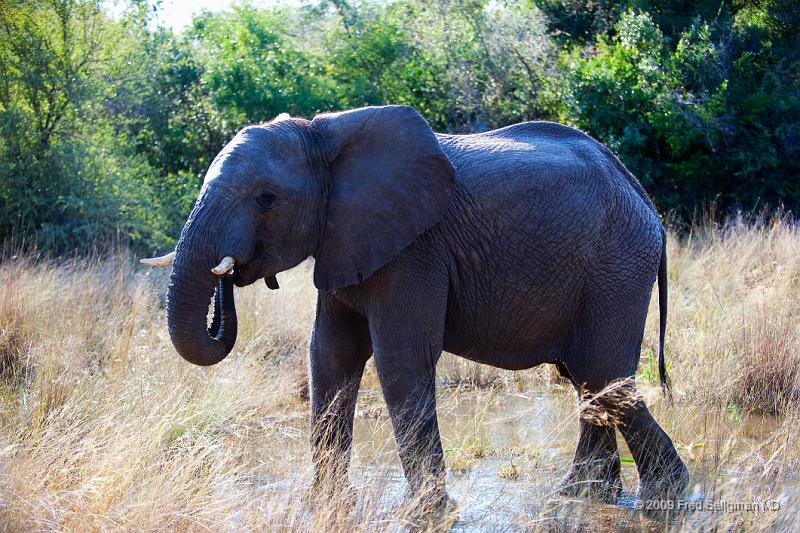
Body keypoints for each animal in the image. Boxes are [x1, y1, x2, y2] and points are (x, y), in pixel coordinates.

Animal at [142, 103, 688, 512]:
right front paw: (326, 507)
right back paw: (583, 497)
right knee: (586, 381)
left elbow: (400, 361)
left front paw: (429, 514)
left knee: (602, 375)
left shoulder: (413, 250)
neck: (323, 134)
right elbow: (329, 357)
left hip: (615, 265)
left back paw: (664, 498)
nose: (228, 276)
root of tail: (645, 201)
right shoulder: (347, 239)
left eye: (266, 198)